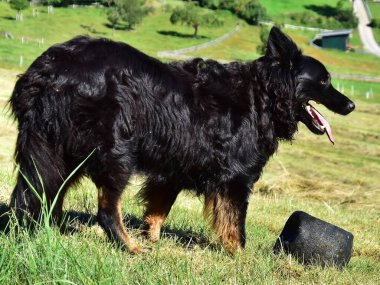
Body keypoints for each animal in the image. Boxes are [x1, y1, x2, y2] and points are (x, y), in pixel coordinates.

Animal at [8, 27, 354, 253]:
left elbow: (159, 210)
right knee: (105, 209)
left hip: (59, 152)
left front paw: (153, 237)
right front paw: (241, 258)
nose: (351, 105)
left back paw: (51, 231)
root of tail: (47, 68)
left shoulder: (175, 169)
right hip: (116, 152)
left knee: (43, 194)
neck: (264, 95)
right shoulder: (236, 179)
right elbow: (235, 225)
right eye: (324, 81)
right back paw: (129, 247)